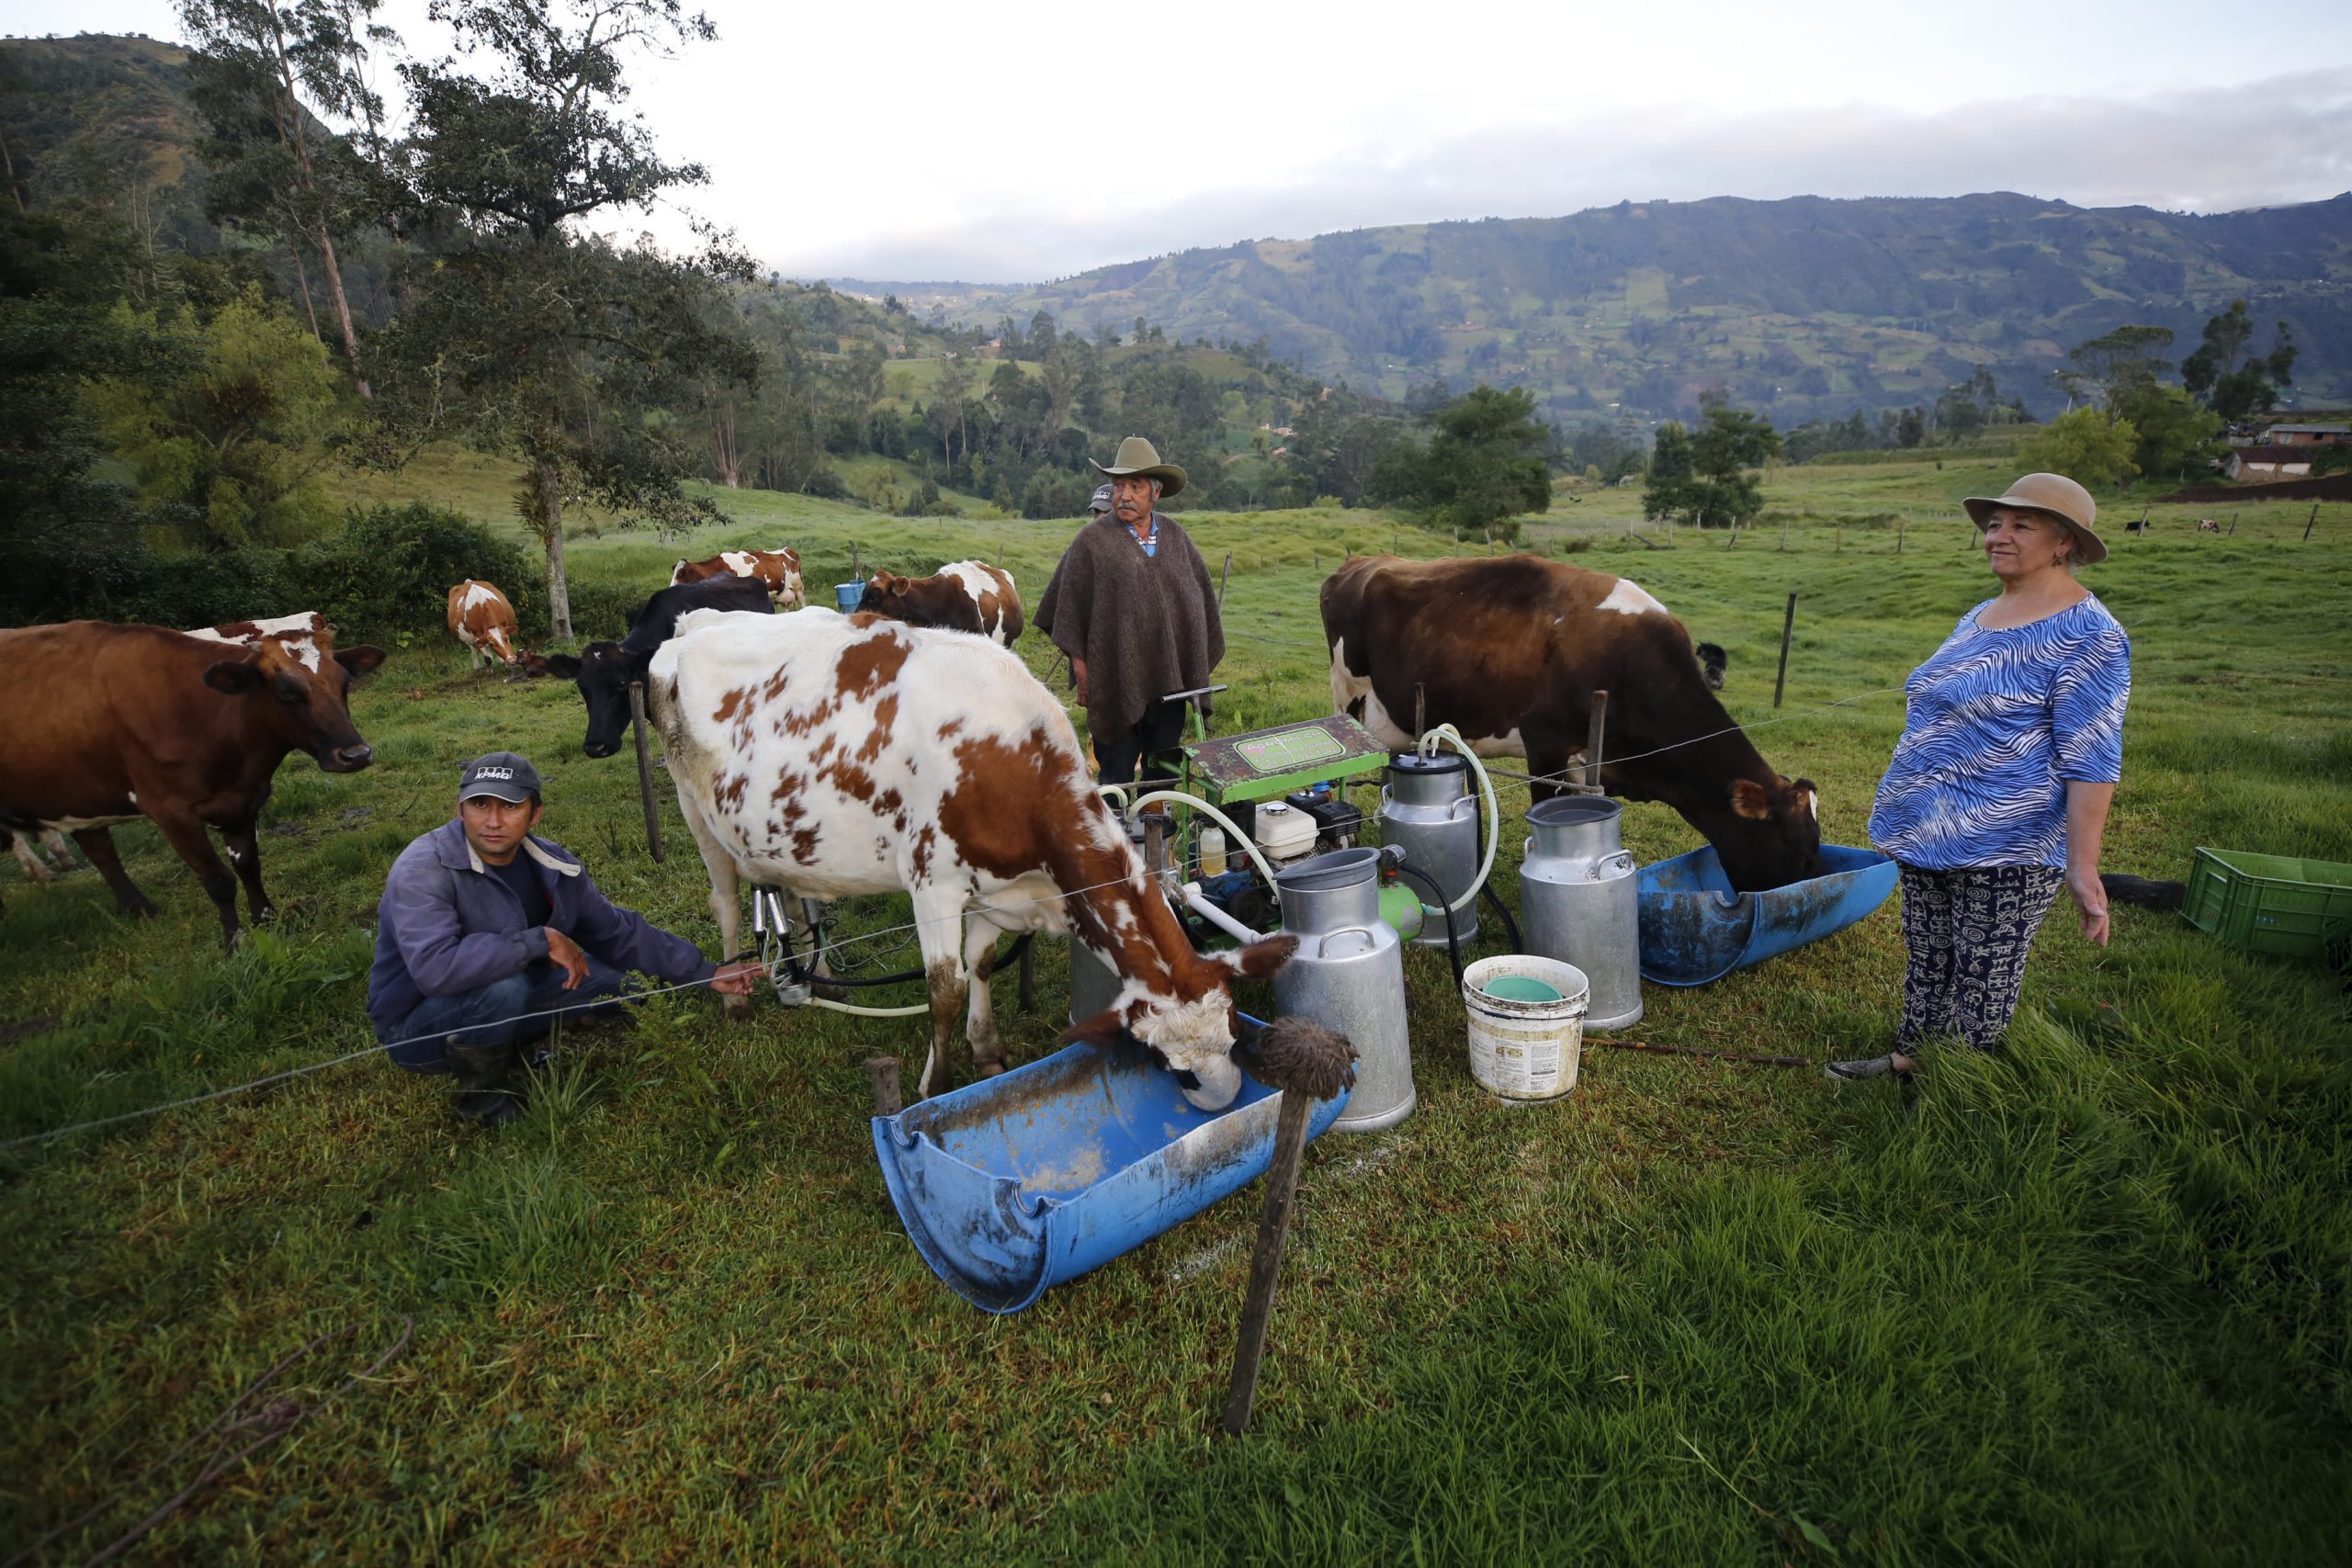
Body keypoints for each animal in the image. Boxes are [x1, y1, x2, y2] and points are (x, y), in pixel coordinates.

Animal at [0, 620, 385, 944]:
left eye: (344, 684)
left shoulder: (241, 800)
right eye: (287, 692)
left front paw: (268, 921)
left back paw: (139, 908)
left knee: (99, 848)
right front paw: (234, 943)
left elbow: (248, 866)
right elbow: (218, 880)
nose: (356, 754)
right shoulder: (172, 812)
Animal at [653, 606, 1298, 1109]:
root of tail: (692, 622)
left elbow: (982, 965)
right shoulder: (931, 884)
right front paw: (935, 1084)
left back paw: (825, 978)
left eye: (1233, 1030)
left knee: (788, 891)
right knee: (725, 900)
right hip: (693, 810)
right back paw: (736, 995)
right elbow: (946, 989)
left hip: (773, 831)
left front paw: (986, 1050)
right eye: (1168, 1063)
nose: (1221, 1099)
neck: (1012, 759)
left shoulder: (998, 888)